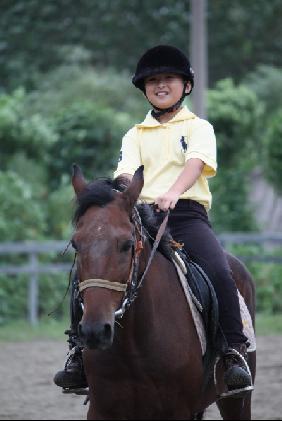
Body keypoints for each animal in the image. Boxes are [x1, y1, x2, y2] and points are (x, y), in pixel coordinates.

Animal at [70, 165, 256, 420]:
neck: (134, 346)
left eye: (127, 244)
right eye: (76, 244)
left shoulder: (177, 411)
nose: (95, 331)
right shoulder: (101, 409)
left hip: (236, 400)